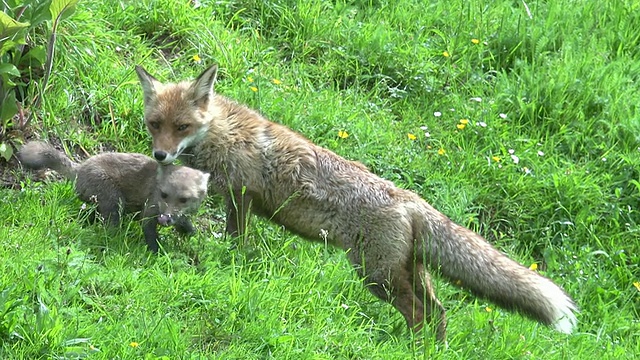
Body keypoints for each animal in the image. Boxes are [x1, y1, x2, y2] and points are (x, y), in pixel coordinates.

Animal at [17, 139, 209, 252]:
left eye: (184, 199)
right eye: (164, 195)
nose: (165, 219)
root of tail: (80, 168)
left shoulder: (180, 216)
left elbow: (186, 225)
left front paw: (193, 237)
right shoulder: (149, 212)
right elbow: (150, 235)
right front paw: (156, 252)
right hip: (114, 200)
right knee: (109, 226)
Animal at [136, 64, 580, 340]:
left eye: (182, 126)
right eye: (155, 124)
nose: (161, 155)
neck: (221, 132)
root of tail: (410, 199)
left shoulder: (242, 197)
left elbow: (237, 242)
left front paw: (231, 263)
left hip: (375, 275)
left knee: (420, 315)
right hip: (406, 272)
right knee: (438, 314)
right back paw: (430, 351)